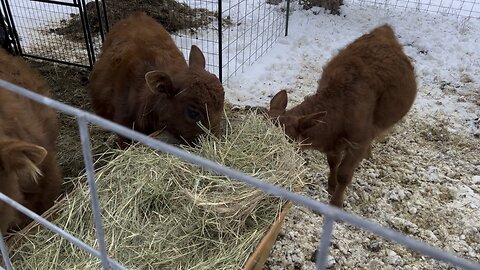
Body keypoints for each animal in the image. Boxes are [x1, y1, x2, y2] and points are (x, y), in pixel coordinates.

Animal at [270, 24, 416, 208]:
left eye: (287, 140)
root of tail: (383, 29)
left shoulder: (358, 141)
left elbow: (344, 174)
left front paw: (336, 203)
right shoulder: (334, 142)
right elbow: (333, 163)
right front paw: (331, 186)